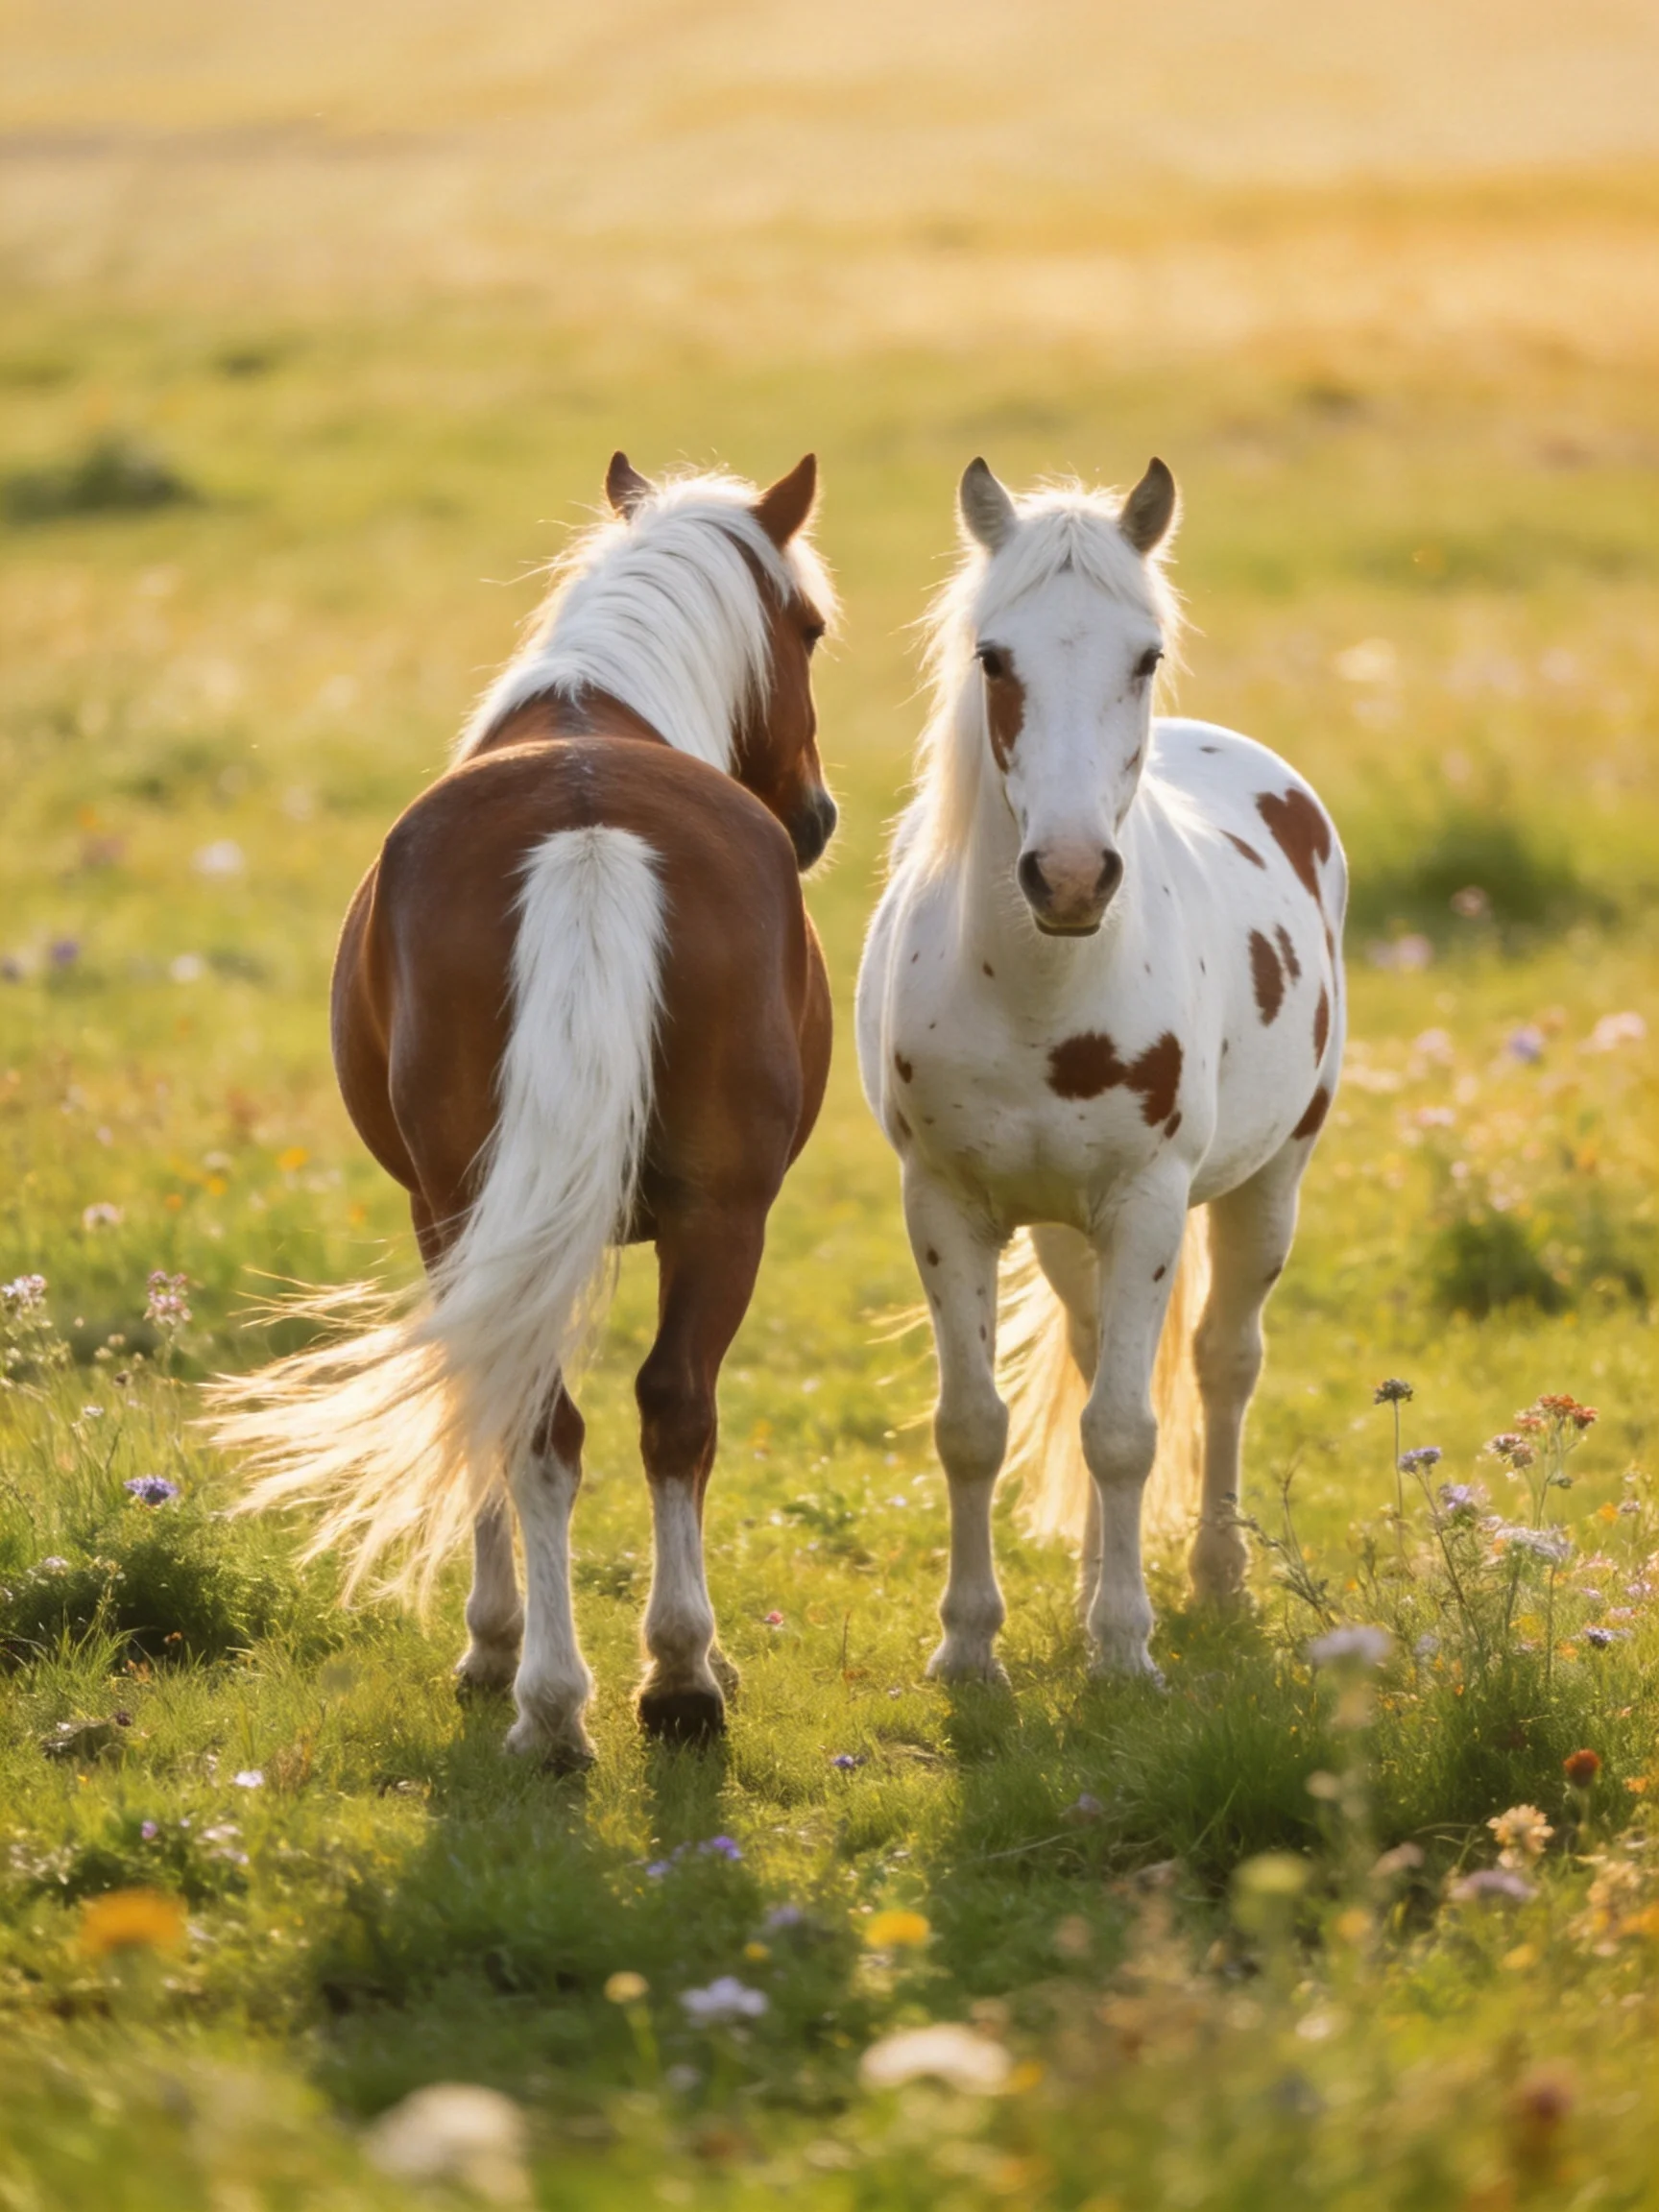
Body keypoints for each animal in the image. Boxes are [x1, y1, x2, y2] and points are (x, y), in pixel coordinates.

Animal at [210, 451, 838, 1767]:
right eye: (808, 627)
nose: (816, 817)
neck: (599, 710)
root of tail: (587, 828)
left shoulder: (449, 1216)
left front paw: (498, 1645)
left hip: (530, 1208)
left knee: (569, 1416)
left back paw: (575, 1696)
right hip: (705, 1214)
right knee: (650, 1410)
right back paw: (642, 1682)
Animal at [856, 455, 1345, 1684]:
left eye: (1145, 656)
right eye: (993, 656)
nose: (1071, 876)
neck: (1046, 995)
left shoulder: (1147, 1207)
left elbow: (1126, 1433)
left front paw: (1126, 1649)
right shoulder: (948, 1206)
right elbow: (973, 1427)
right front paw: (969, 1647)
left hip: (1271, 1182)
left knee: (1223, 1363)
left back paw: (1214, 1579)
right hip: (1060, 1230)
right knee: (1086, 1357)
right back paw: (1087, 1586)